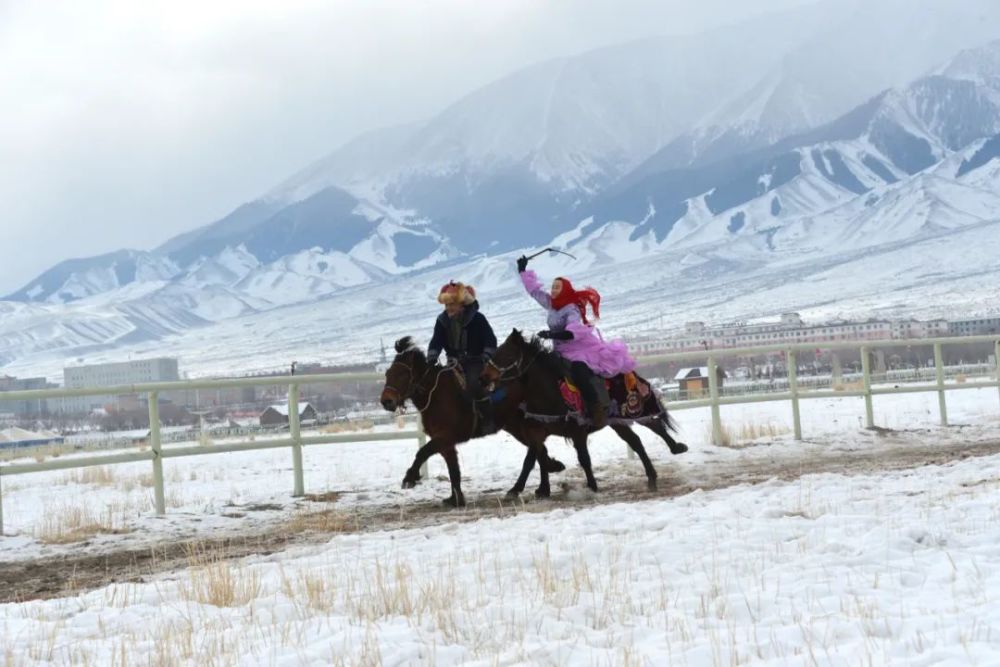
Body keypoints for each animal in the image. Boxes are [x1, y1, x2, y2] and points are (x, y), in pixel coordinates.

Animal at [380, 336, 572, 508]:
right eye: (388, 373)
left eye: (403, 374)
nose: (386, 401)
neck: (436, 395)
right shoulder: (445, 442)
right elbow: (453, 469)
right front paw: (456, 499)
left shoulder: (444, 438)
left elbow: (422, 452)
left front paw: (409, 478)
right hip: (515, 426)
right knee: (538, 450)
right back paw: (540, 483)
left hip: (525, 425)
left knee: (536, 451)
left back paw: (531, 485)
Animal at [478, 326, 684, 494]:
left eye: (505, 354)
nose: (483, 377)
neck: (549, 390)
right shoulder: (536, 430)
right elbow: (536, 457)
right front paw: (532, 488)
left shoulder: (577, 430)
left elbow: (583, 458)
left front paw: (592, 486)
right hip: (617, 421)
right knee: (636, 441)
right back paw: (652, 477)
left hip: (634, 410)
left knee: (654, 425)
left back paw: (676, 448)